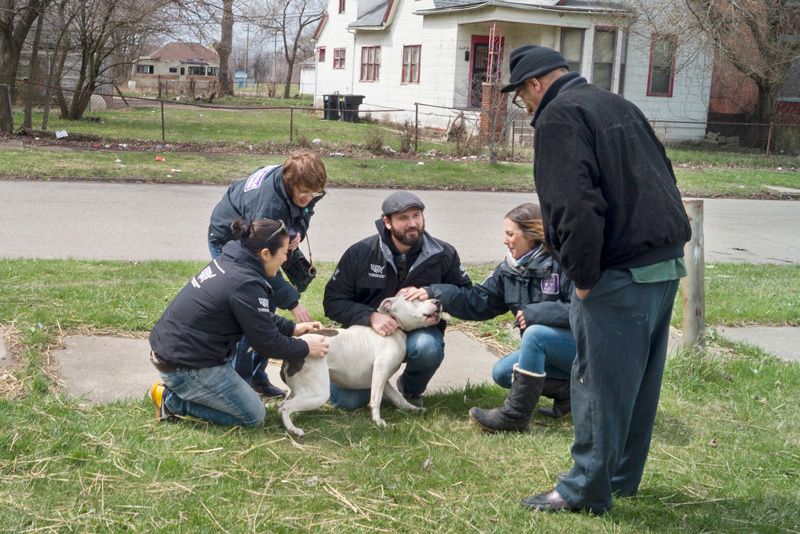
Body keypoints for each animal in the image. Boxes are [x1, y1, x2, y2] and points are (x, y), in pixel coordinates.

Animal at [278, 298, 446, 440]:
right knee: (285, 407)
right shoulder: (381, 369)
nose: (438, 301)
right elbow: (376, 399)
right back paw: (293, 429)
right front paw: (378, 421)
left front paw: (412, 408)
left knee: (281, 406)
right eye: (415, 299)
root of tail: (292, 353)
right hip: (317, 393)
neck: (396, 327)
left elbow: (398, 397)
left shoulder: (383, 379)